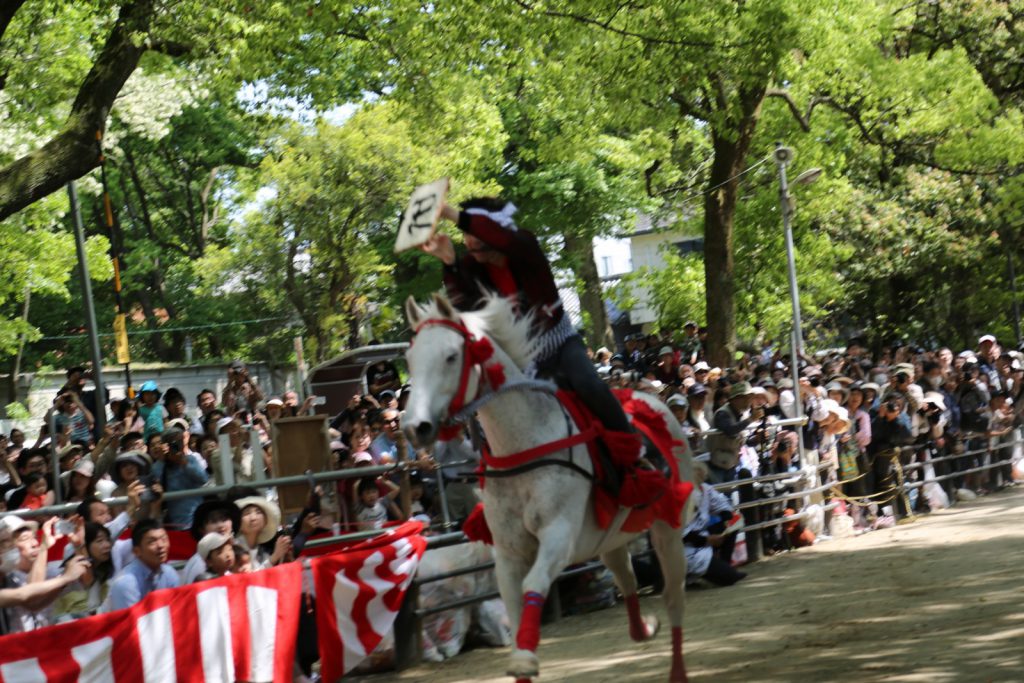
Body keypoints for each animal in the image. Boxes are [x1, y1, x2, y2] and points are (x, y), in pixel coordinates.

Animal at [399, 294, 696, 683]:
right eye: (410, 359)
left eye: (451, 356)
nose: (414, 427)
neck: (523, 444)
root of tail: (657, 401)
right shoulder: (509, 552)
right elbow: (514, 605)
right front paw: (521, 658)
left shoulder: (558, 536)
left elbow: (534, 585)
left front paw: (525, 657)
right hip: (610, 540)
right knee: (627, 577)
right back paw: (644, 627)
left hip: (667, 529)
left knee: (674, 596)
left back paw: (676, 665)